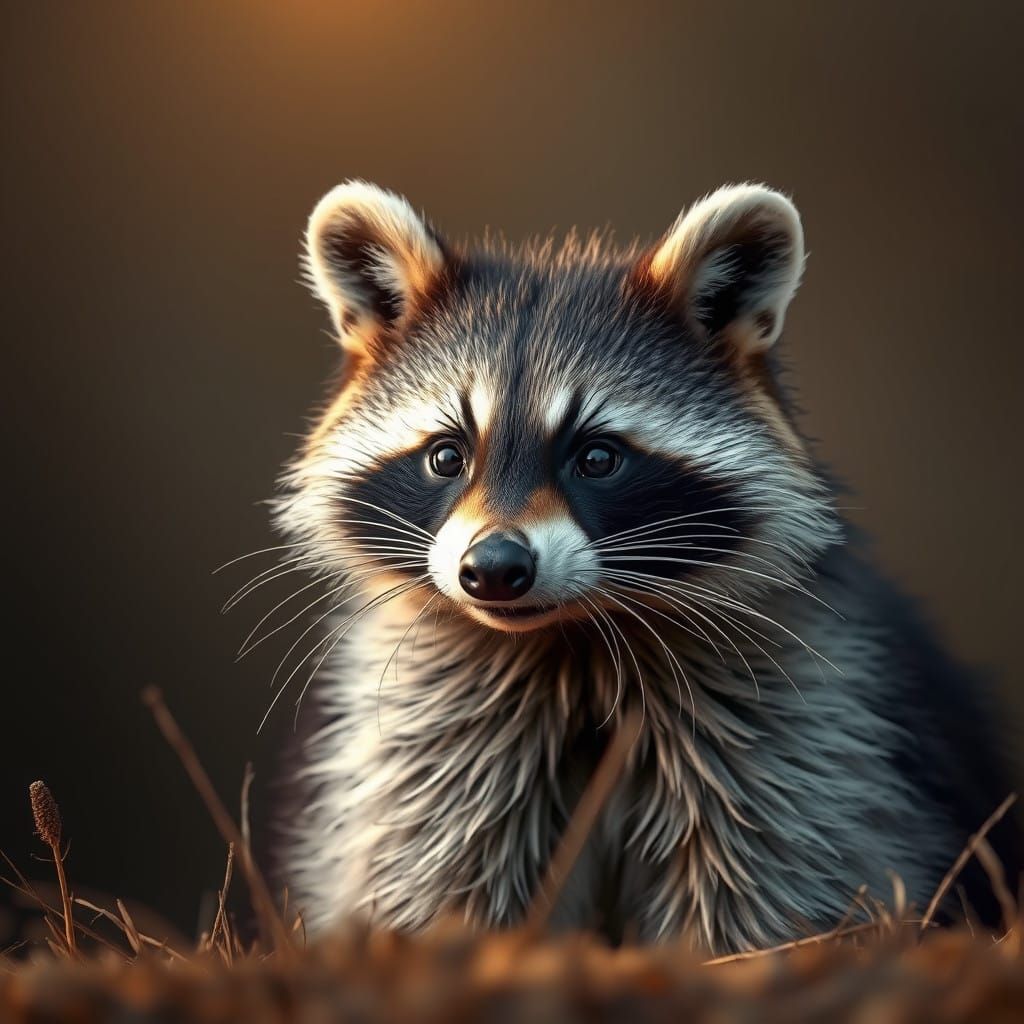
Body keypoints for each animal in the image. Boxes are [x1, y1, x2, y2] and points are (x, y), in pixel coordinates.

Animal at [269, 180, 1020, 953]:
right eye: (447, 456)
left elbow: (771, 878)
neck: (573, 636)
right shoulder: (440, 734)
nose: (495, 567)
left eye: (597, 457)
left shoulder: (803, 729)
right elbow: (441, 863)